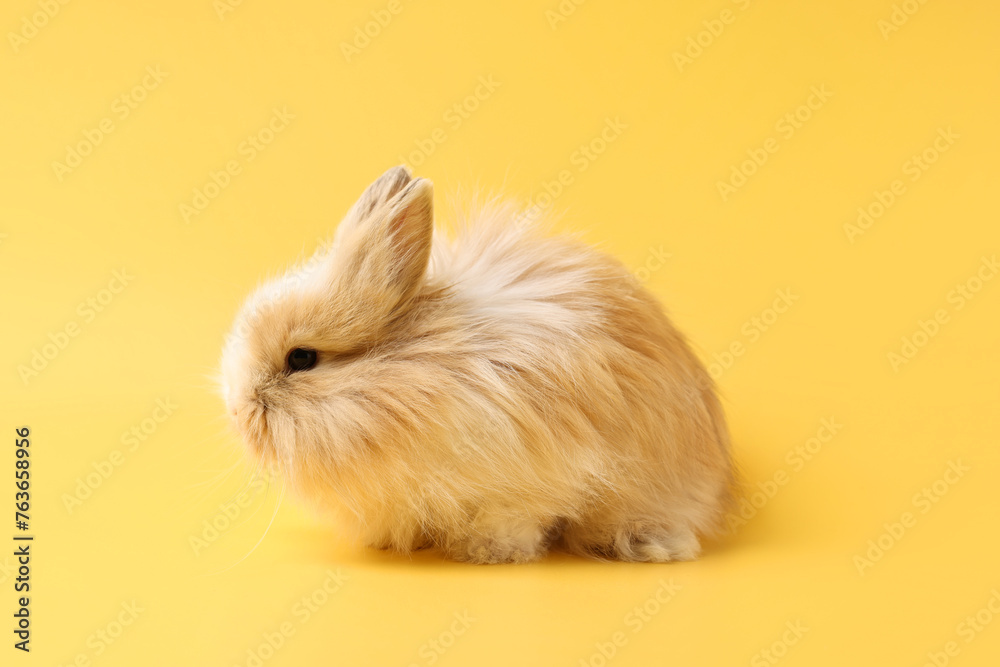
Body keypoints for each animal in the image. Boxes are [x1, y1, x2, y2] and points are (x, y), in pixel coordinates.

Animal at [220, 165, 736, 564]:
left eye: (301, 358)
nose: (238, 412)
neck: (406, 376)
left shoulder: (524, 483)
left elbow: (514, 521)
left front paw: (487, 553)